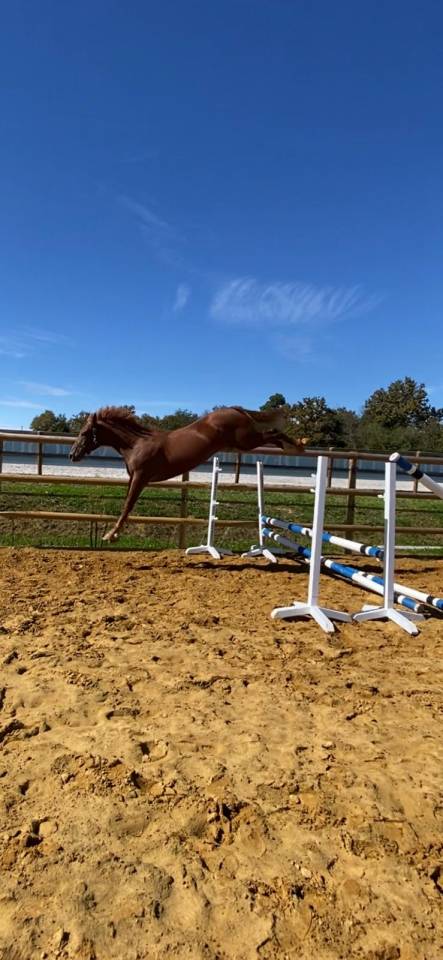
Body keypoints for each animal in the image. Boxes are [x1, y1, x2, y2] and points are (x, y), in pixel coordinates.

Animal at [69, 405, 308, 542]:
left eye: (84, 432)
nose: (72, 454)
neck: (136, 444)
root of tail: (235, 408)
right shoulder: (133, 478)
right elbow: (125, 505)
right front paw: (112, 533)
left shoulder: (141, 477)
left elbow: (127, 506)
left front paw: (110, 536)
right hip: (245, 441)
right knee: (273, 434)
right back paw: (297, 445)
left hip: (246, 441)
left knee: (272, 433)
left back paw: (299, 445)